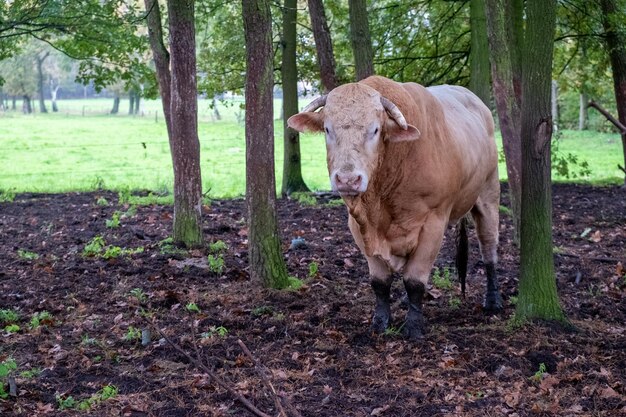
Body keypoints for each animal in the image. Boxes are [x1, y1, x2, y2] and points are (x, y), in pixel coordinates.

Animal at [288, 76, 502, 340]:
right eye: (328, 129)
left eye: (375, 130)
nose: (347, 179)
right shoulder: (359, 227)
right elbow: (380, 282)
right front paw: (381, 322)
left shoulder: (433, 222)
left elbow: (415, 281)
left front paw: (414, 327)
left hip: (488, 193)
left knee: (489, 246)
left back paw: (492, 300)